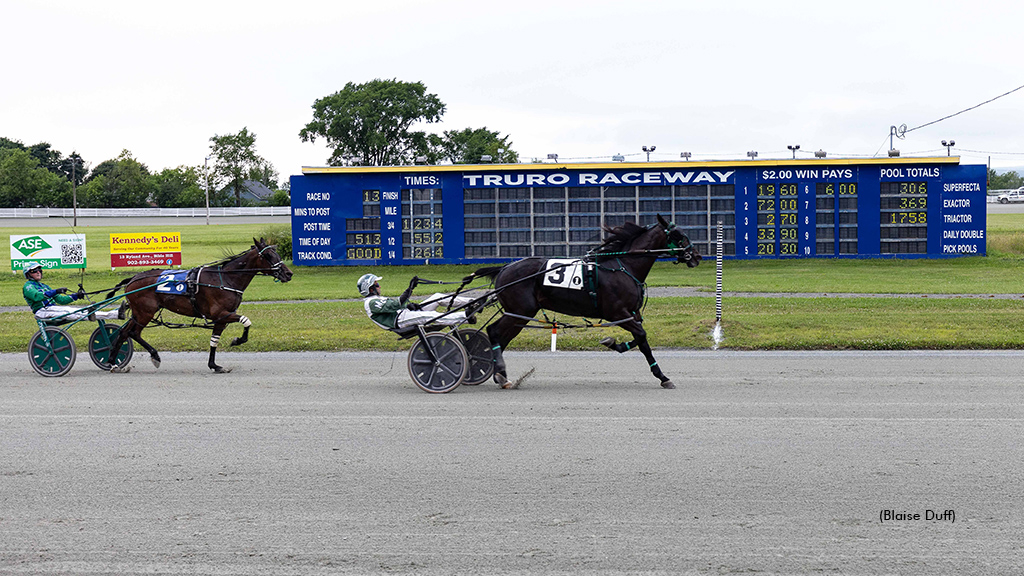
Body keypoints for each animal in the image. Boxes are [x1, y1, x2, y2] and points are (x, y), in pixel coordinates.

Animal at [103, 236, 292, 373]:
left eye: (277, 253)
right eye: (268, 255)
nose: (288, 273)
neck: (225, 279)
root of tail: (133, 279)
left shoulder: (221, 319)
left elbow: (214, 340)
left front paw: (214, 365)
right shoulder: (221, 314)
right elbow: (246, 320)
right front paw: (238, 340)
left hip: (139, 313)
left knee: (124, 332)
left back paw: (112, 362)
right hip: (145, 312)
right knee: (134, 333)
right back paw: (154, 356)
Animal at [473, 213, 700, 387]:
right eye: (679, 234)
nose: (696, 256)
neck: (624, 266)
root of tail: (504, 268)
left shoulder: (632, 314)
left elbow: (642, 339)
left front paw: (615, 345)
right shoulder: (617, 313)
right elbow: (642, 336)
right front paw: (660, 375)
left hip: (519, 314)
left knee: (502, 338)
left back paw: (498, 374)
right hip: (520, 311)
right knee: (494, 332)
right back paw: (498, 373)